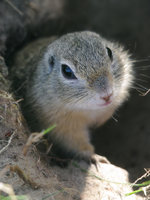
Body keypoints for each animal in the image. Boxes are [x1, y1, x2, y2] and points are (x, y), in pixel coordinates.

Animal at [11, 31, 134, 162]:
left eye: (110, 52)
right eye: (67, 71)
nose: (107, 94)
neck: (87, 109)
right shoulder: (60, 125)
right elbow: (75, 143)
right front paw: (95, 157)